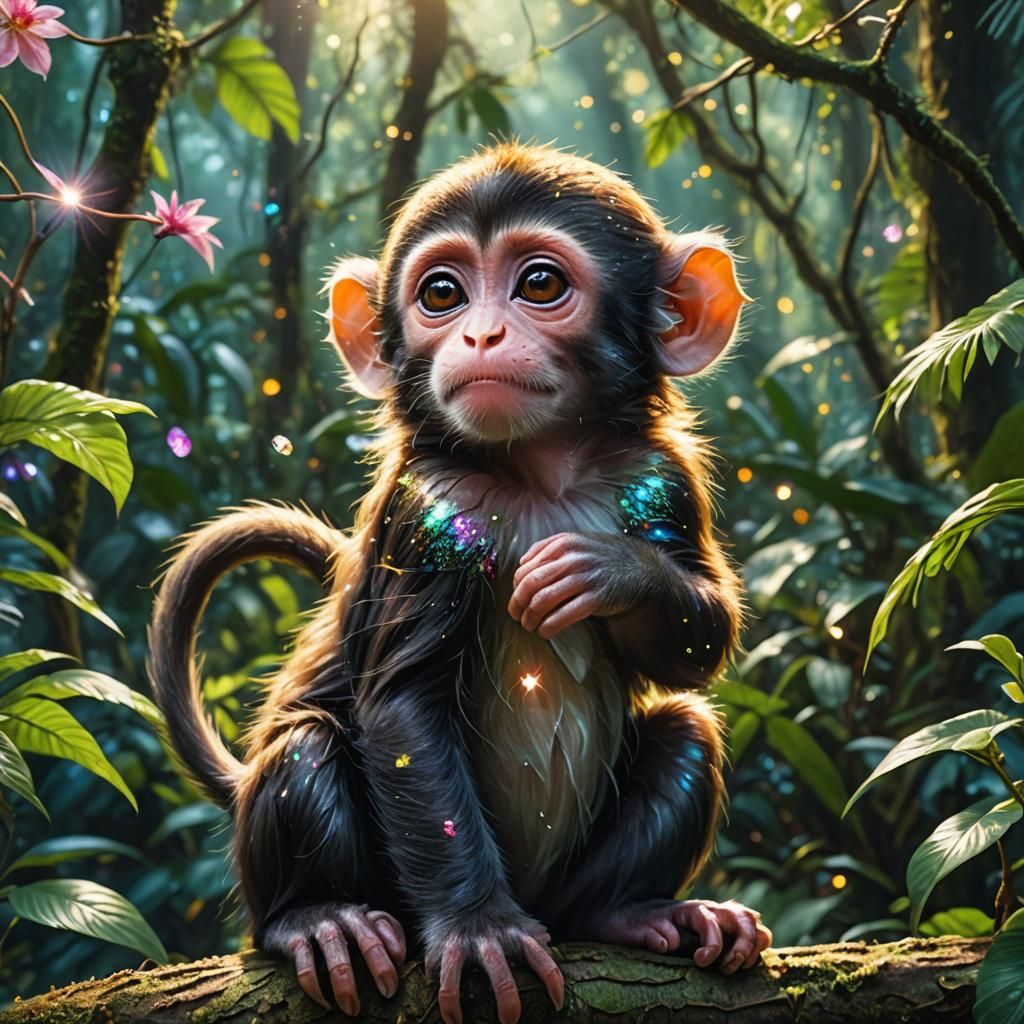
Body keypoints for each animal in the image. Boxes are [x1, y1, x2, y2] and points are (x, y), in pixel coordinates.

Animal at [148, 142, 772, 1024]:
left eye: (539, 283)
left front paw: (613, 571)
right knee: (306, 745)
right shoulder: (432, 509)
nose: (480, 332)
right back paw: (315, 917)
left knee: (684, 731)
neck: (538, 474)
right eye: (440, 294)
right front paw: (476, 927)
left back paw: (629, 911)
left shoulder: (662, 476)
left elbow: (701, 643)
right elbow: (402, 708)